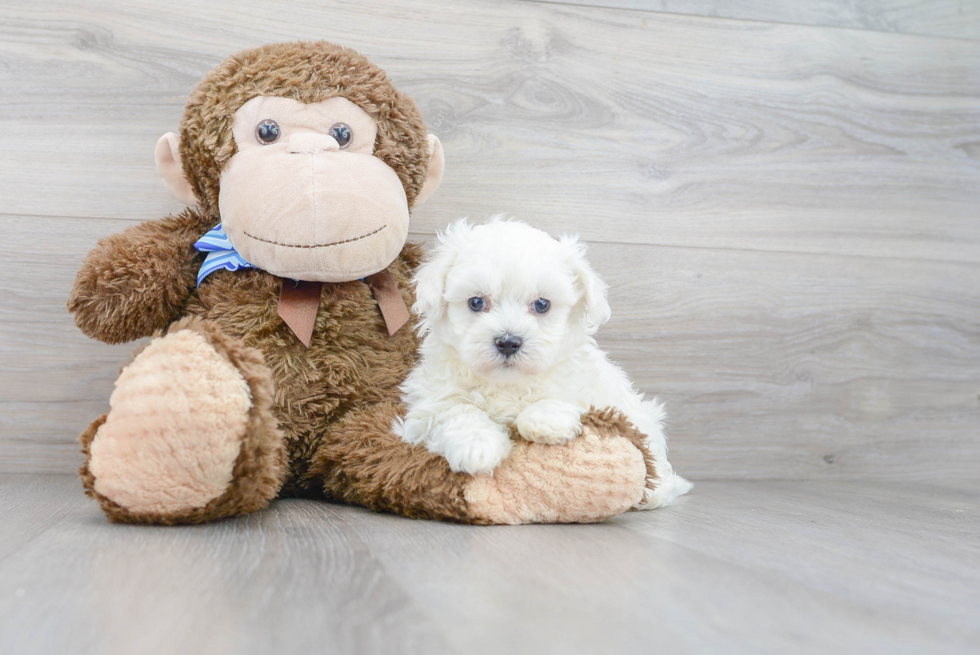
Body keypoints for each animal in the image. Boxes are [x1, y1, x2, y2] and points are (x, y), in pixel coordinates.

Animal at [394, 218, 692, 510]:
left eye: (541, 305)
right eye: (476, 302)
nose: (508, 342)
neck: (506, 383)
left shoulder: (587, 387)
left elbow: (559, 398)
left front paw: (545, 421)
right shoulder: (428, 404)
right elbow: (456, 410)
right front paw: (478, 446)